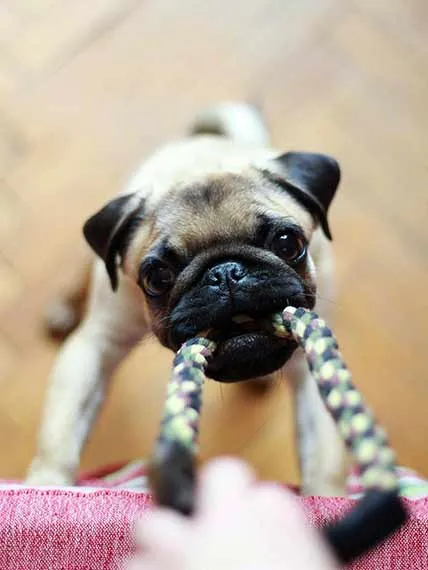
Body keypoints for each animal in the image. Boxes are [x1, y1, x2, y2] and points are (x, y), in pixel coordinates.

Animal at [25, 101, 348, 492]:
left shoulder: (312, 361)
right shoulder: (98, 344)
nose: (225, 273)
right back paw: (63, 309)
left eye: (288, 243)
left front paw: (327, 497)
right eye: (157, 278)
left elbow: (324, 454)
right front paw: (46, 483)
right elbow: (61, 430)